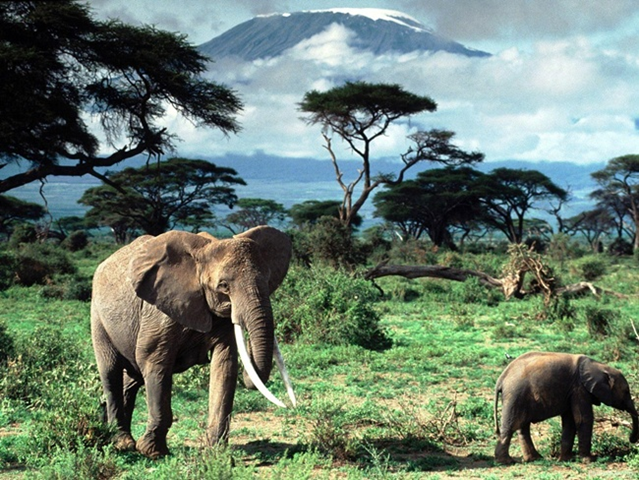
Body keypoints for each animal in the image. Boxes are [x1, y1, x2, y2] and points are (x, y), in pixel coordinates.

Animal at [91, 225, 296, 458]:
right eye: (223, 286)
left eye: (268, 280)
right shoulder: (159, 312)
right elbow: (153, 361)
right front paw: (153, 452)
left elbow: (225, 365)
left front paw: (216, 452)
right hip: (98, 316)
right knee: (111, 373)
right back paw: (122, 443)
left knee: (131, 378)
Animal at [496, 350, 639, 464]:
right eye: (626, 391)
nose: (631, 439)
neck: (598, 365)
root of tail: (501, 377)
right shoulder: (579, 389)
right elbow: (583, 419)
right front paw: (589, 460)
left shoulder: (572, 391)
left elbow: (570, 422)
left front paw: (566, 459)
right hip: (514, 395)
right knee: (511, 426)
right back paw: (506, 462)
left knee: (522, 427)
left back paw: (535, 459)